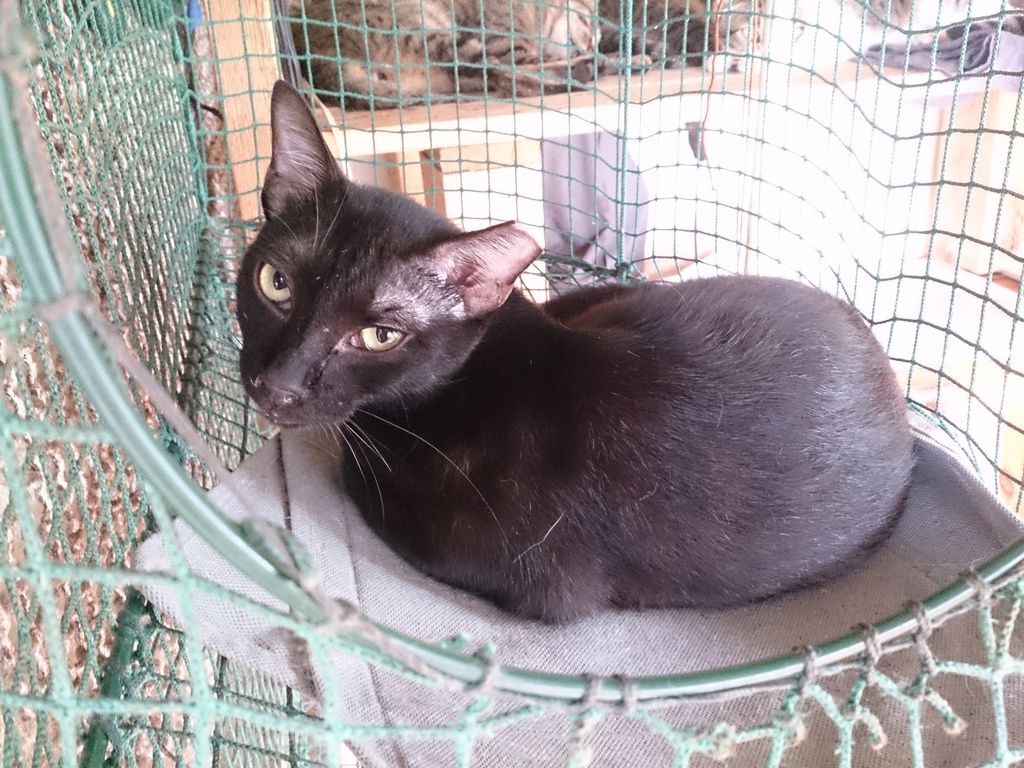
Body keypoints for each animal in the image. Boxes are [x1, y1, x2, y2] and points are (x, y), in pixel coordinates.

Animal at [285, 0, 600, 106]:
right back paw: (579, 73)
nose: (592, 49)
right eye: (590, 27)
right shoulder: (503, 40)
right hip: (437, 35)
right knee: (511, 77)